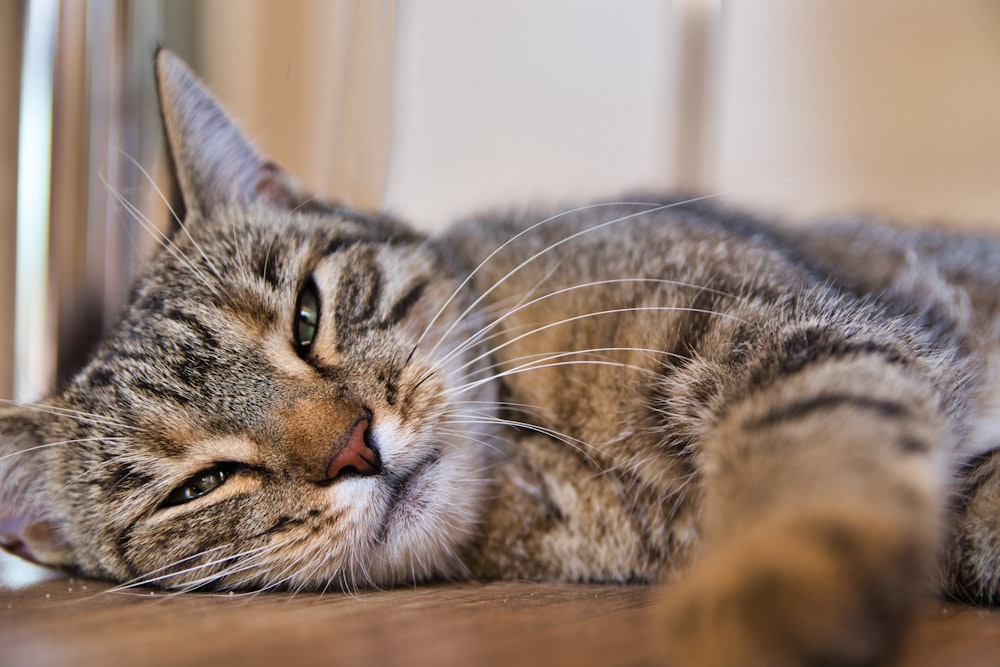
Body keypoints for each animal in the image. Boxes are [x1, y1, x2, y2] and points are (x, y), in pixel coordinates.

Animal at [1, 49, 1000, 664]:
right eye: (200, 486)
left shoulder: (773, 324)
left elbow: (813, 436)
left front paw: (772, 591)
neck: (546, 463)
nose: (354, 446)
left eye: (307, 316)